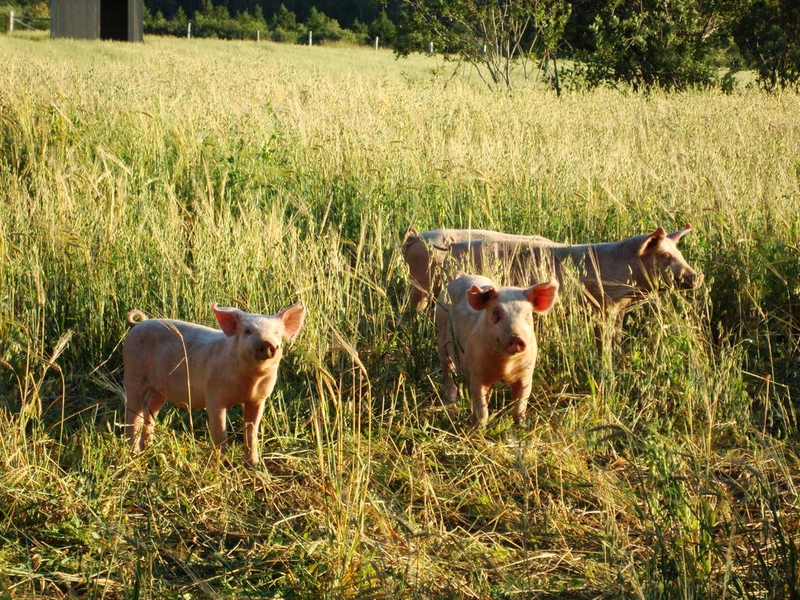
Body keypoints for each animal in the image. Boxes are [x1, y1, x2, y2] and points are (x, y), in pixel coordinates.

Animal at [123, 302, 305, 467]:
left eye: (276, 333)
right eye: (247, 331)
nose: (266, 342)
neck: (250, 381)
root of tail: (139, 324)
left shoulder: (258, 399)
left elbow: (251, 433)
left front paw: (254, 466)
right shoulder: (214, 395)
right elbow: (220, 432)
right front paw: (223, 465)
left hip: (158, 389)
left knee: (149, 411)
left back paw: (148, 448)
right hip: (133, 373)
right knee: (133, 413)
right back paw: (133, 453)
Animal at [436, 274, 559, 427]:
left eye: (527, 314)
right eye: (496, 313)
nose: (515, 337)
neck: (505, 366)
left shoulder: (526, 374)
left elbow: (520, 405)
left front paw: (522, 425)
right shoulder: (477, 372)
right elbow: (481, 408)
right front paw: (479, 427)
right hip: (440, 338)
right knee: (447, 372)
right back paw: (450, 402)